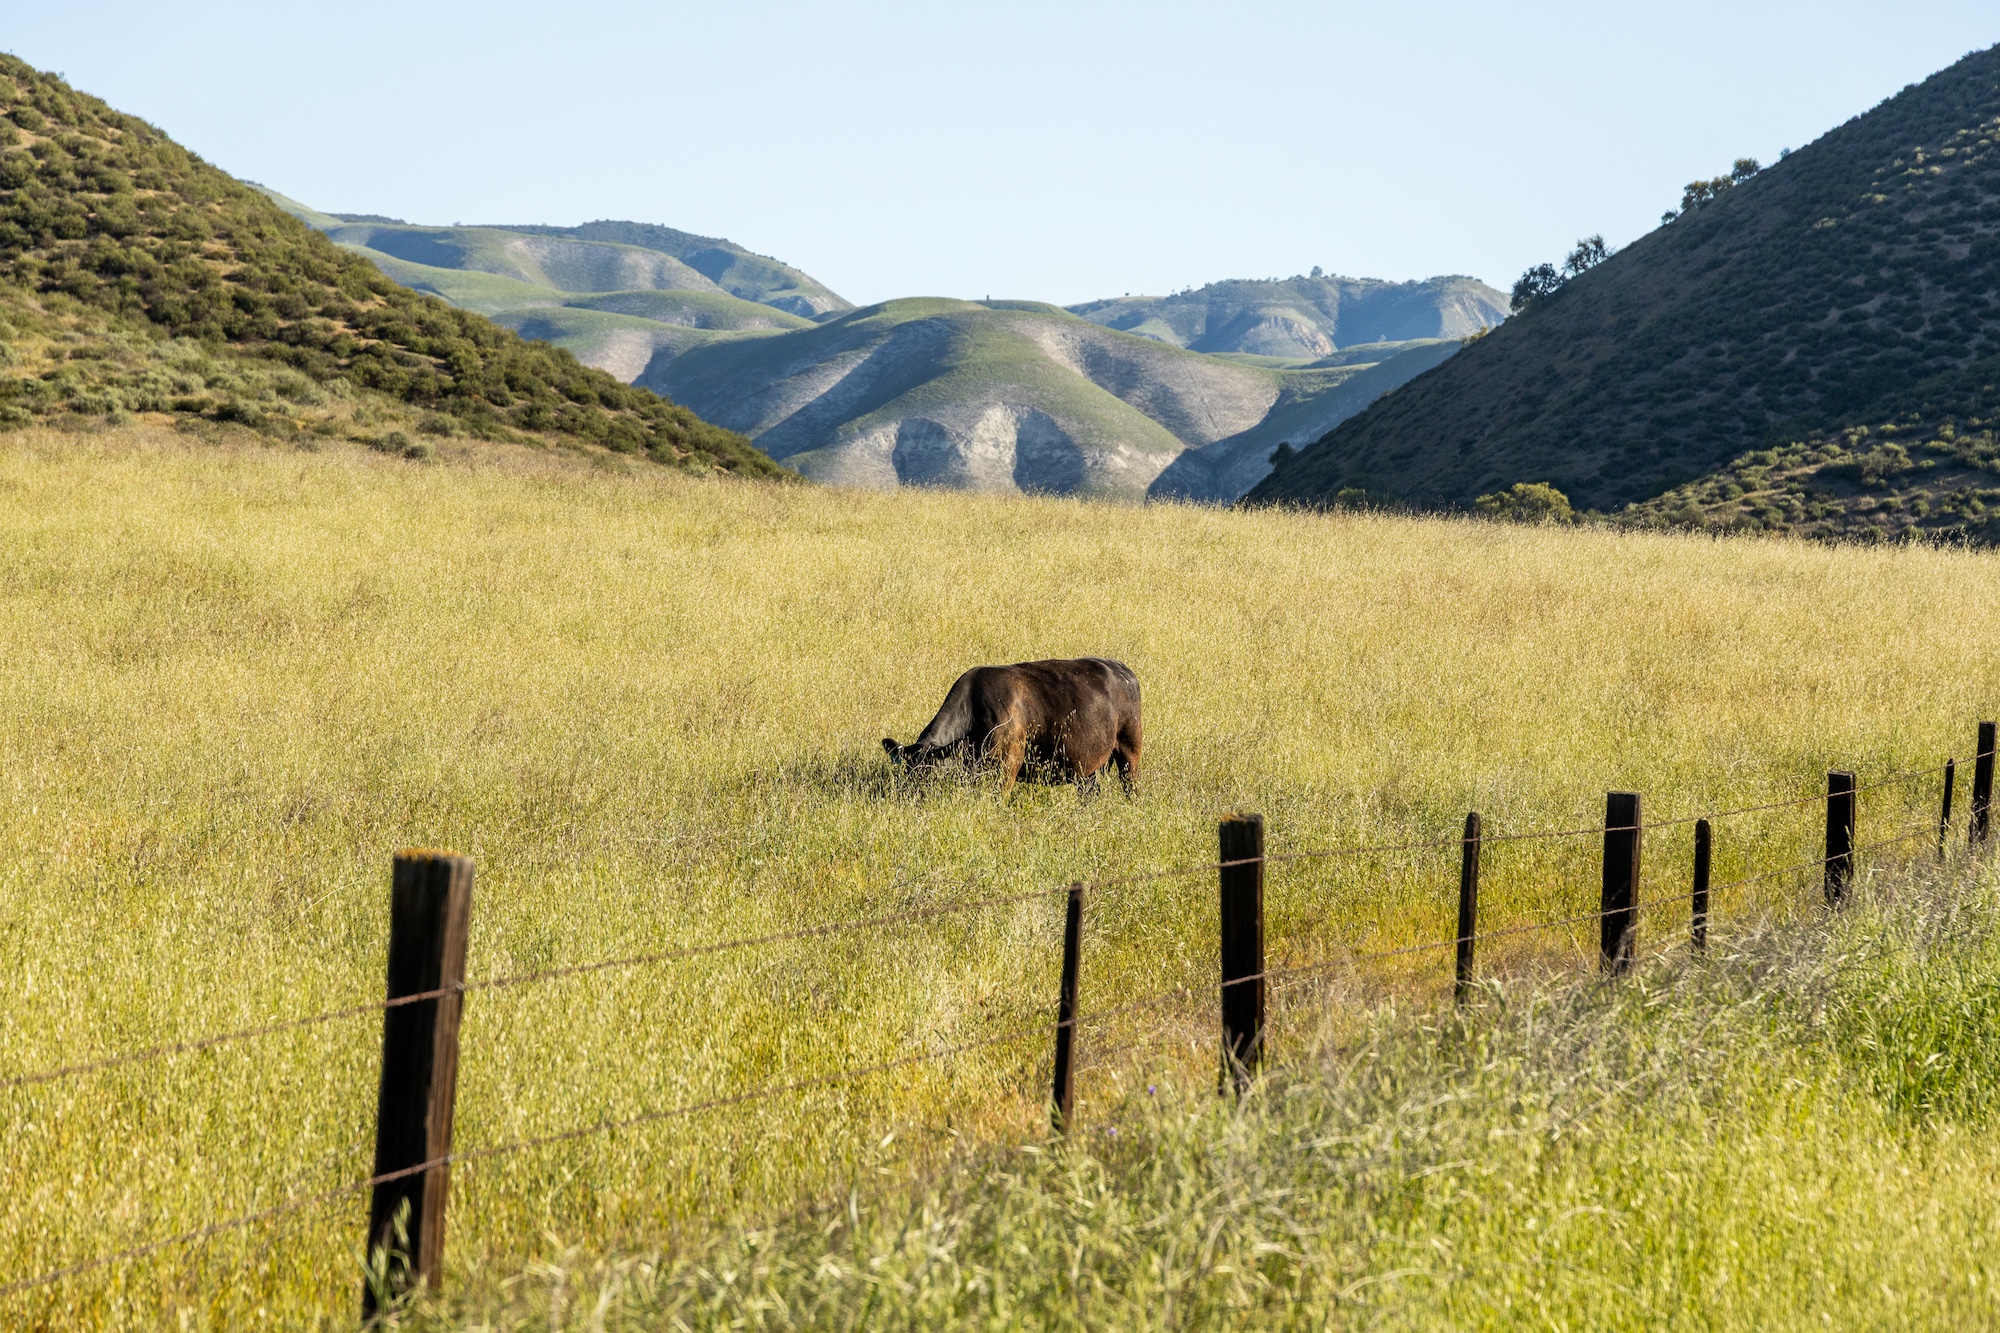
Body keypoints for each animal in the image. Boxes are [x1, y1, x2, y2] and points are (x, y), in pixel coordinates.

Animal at [882, 658, 1142, 794]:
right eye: (907, 771)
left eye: (930, 771)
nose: (913, 795)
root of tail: (1119, 666)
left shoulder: (1010, 763)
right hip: (1086, 765)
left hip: (1130, 749)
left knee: (1131, 785)